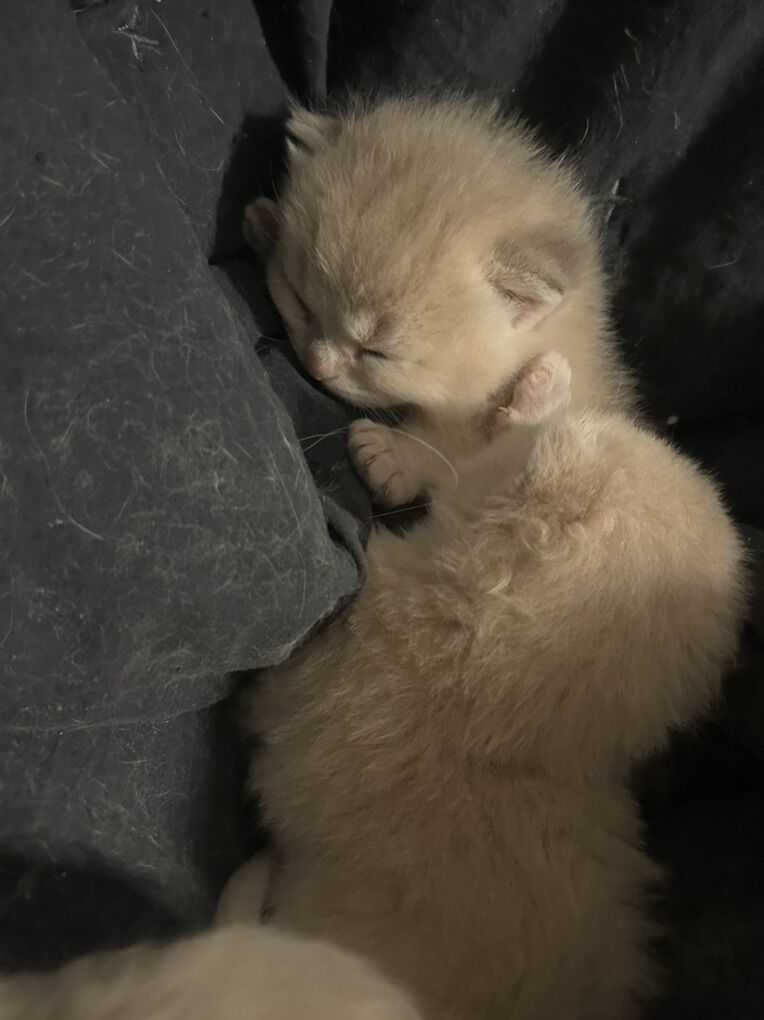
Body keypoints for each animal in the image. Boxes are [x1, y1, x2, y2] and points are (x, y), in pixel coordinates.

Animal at [244, 95, 633, 507]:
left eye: (379, 353)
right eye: (301, 302)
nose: (315, 367)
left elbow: (456, 446)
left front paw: (393, 457)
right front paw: (267, 226)